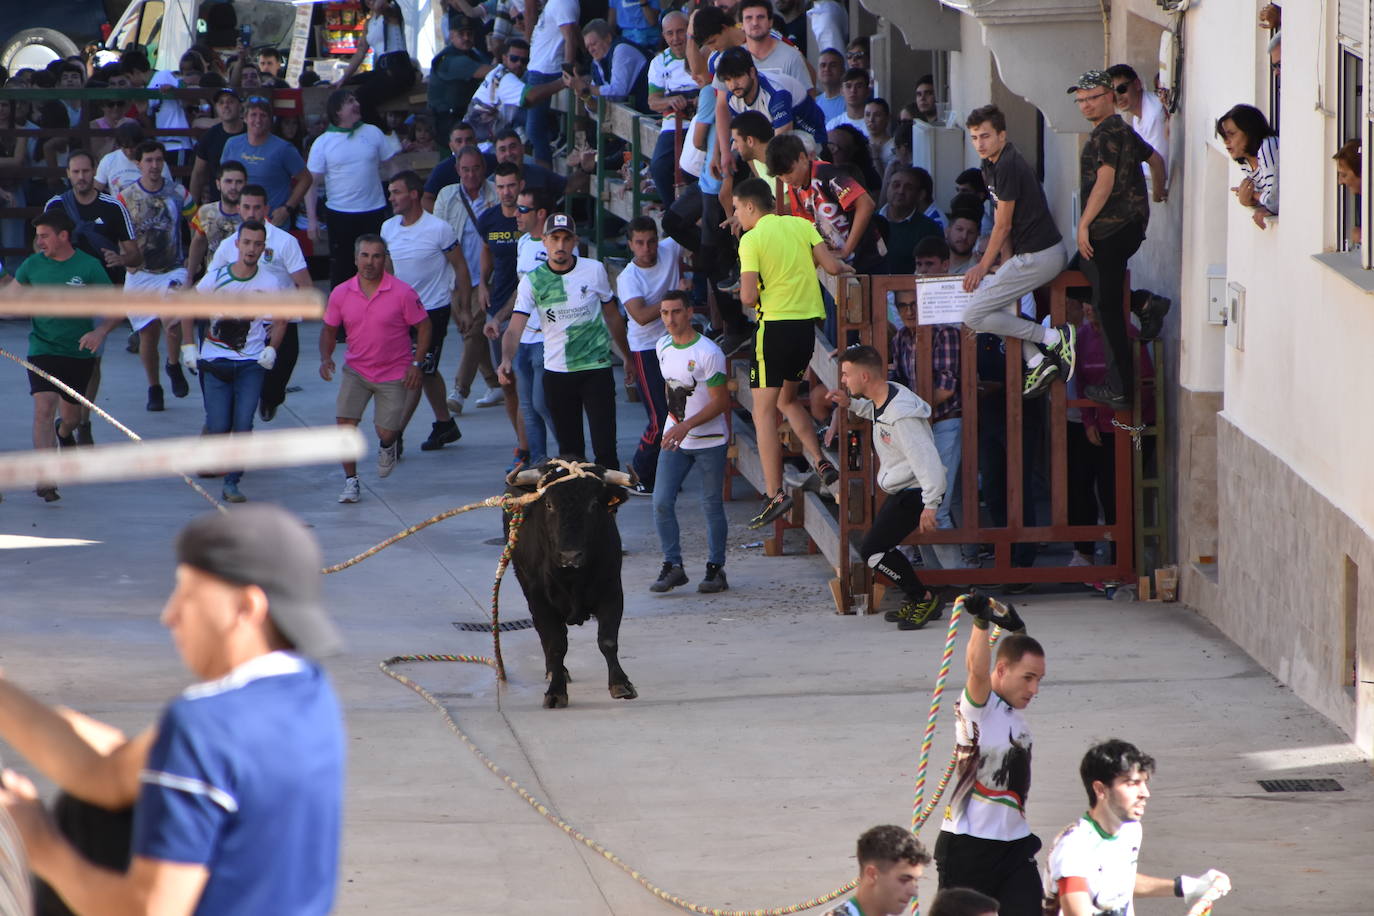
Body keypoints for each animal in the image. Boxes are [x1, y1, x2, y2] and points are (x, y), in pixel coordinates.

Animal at [505, 466, 637, 708]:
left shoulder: (612, 592)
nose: (570, 556)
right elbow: (556, 644)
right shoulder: (540, 601)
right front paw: (556, 692)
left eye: (593, 504)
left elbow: (608, 640)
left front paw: (620, 684)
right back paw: (554, 671)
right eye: (549, 504)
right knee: (545, 635)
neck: (573, 577)